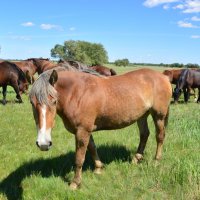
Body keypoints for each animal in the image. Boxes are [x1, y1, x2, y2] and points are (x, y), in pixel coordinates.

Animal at [29, 67, 172, 189]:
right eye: (31, 102)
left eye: (53, 101)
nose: (43, 144)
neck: (77, 93)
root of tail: (164, 76)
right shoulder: (85, 130)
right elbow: (92, 148)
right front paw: (98, 168)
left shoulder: (82, 131)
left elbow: (79, 158)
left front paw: (75, 183)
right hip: (142, 115)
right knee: (144, 134)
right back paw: (136, 159)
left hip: (159, 116)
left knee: (160, 136)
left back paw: (156, 161)